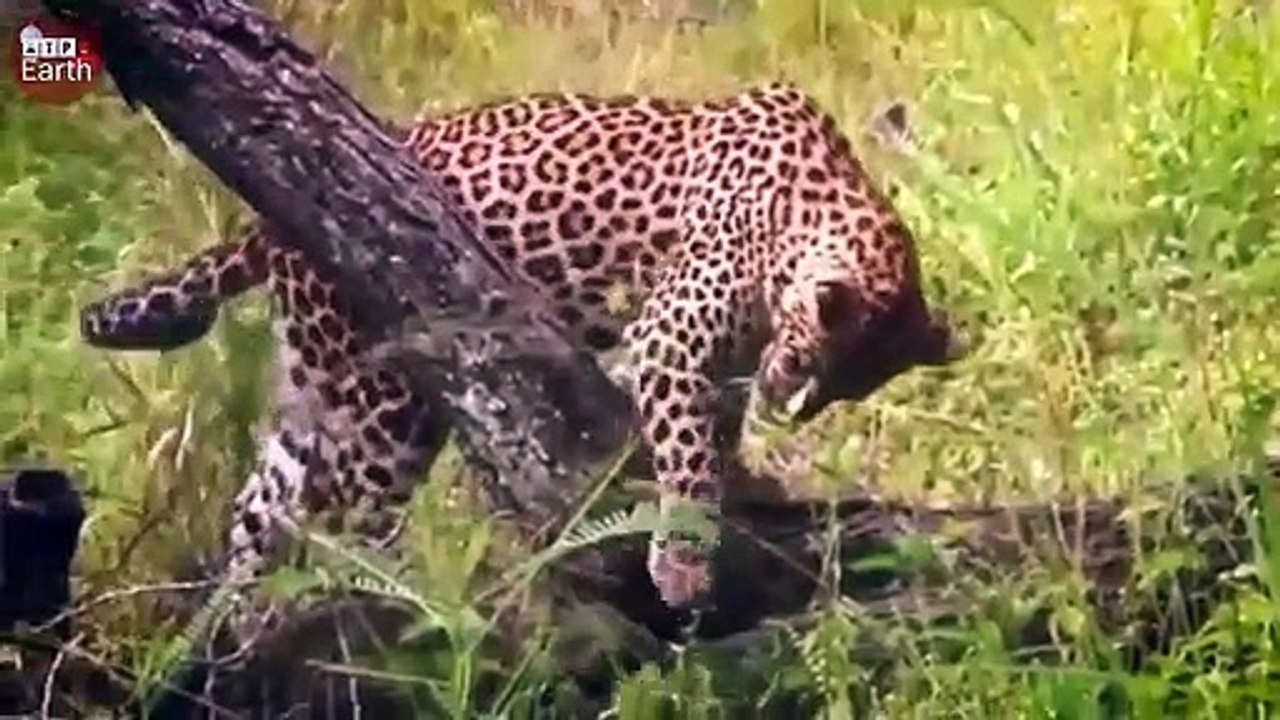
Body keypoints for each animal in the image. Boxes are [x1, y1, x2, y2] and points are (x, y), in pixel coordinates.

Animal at [79, 83, 963, 615]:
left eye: (849, 390)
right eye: (816, 362)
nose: (791, 403)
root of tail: (265, 229)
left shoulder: (725, 362)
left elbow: (715, 432)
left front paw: (745, 481)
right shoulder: (669, 341)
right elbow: (686, 453)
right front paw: (683, 564)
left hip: (315, 387)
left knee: (259, 515)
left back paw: (222, 637)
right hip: (384, 409)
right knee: (345, 522)